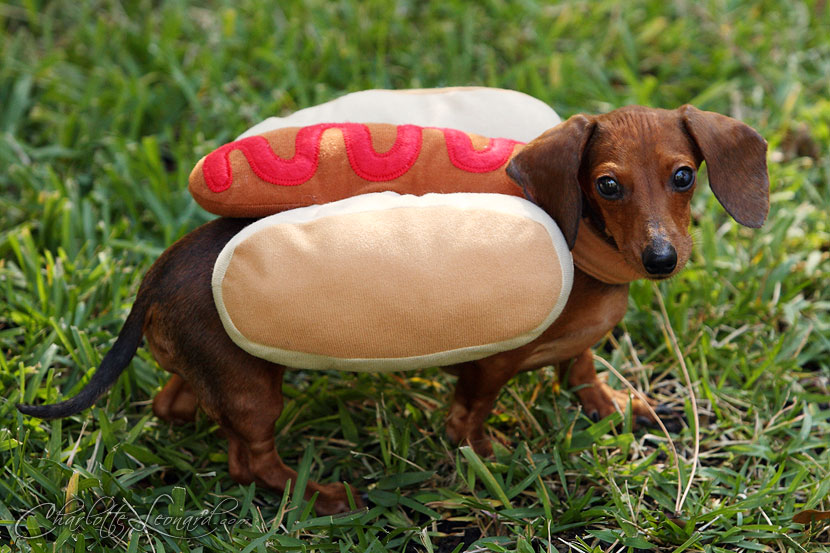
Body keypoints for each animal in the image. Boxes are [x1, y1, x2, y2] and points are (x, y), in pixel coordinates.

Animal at [19, 105, 772, 516]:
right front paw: (493, 459)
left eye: (683, 175)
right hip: (255, 387)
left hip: (213, 367)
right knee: (249, 462)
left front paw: (614, 406)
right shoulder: (488, 366)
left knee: (174, 403)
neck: (591, 256)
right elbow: (470, 419)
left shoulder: (579, 347)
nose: (661, 257)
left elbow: (582, 369)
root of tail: (154, 276)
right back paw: (316, 495)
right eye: (607, 185)